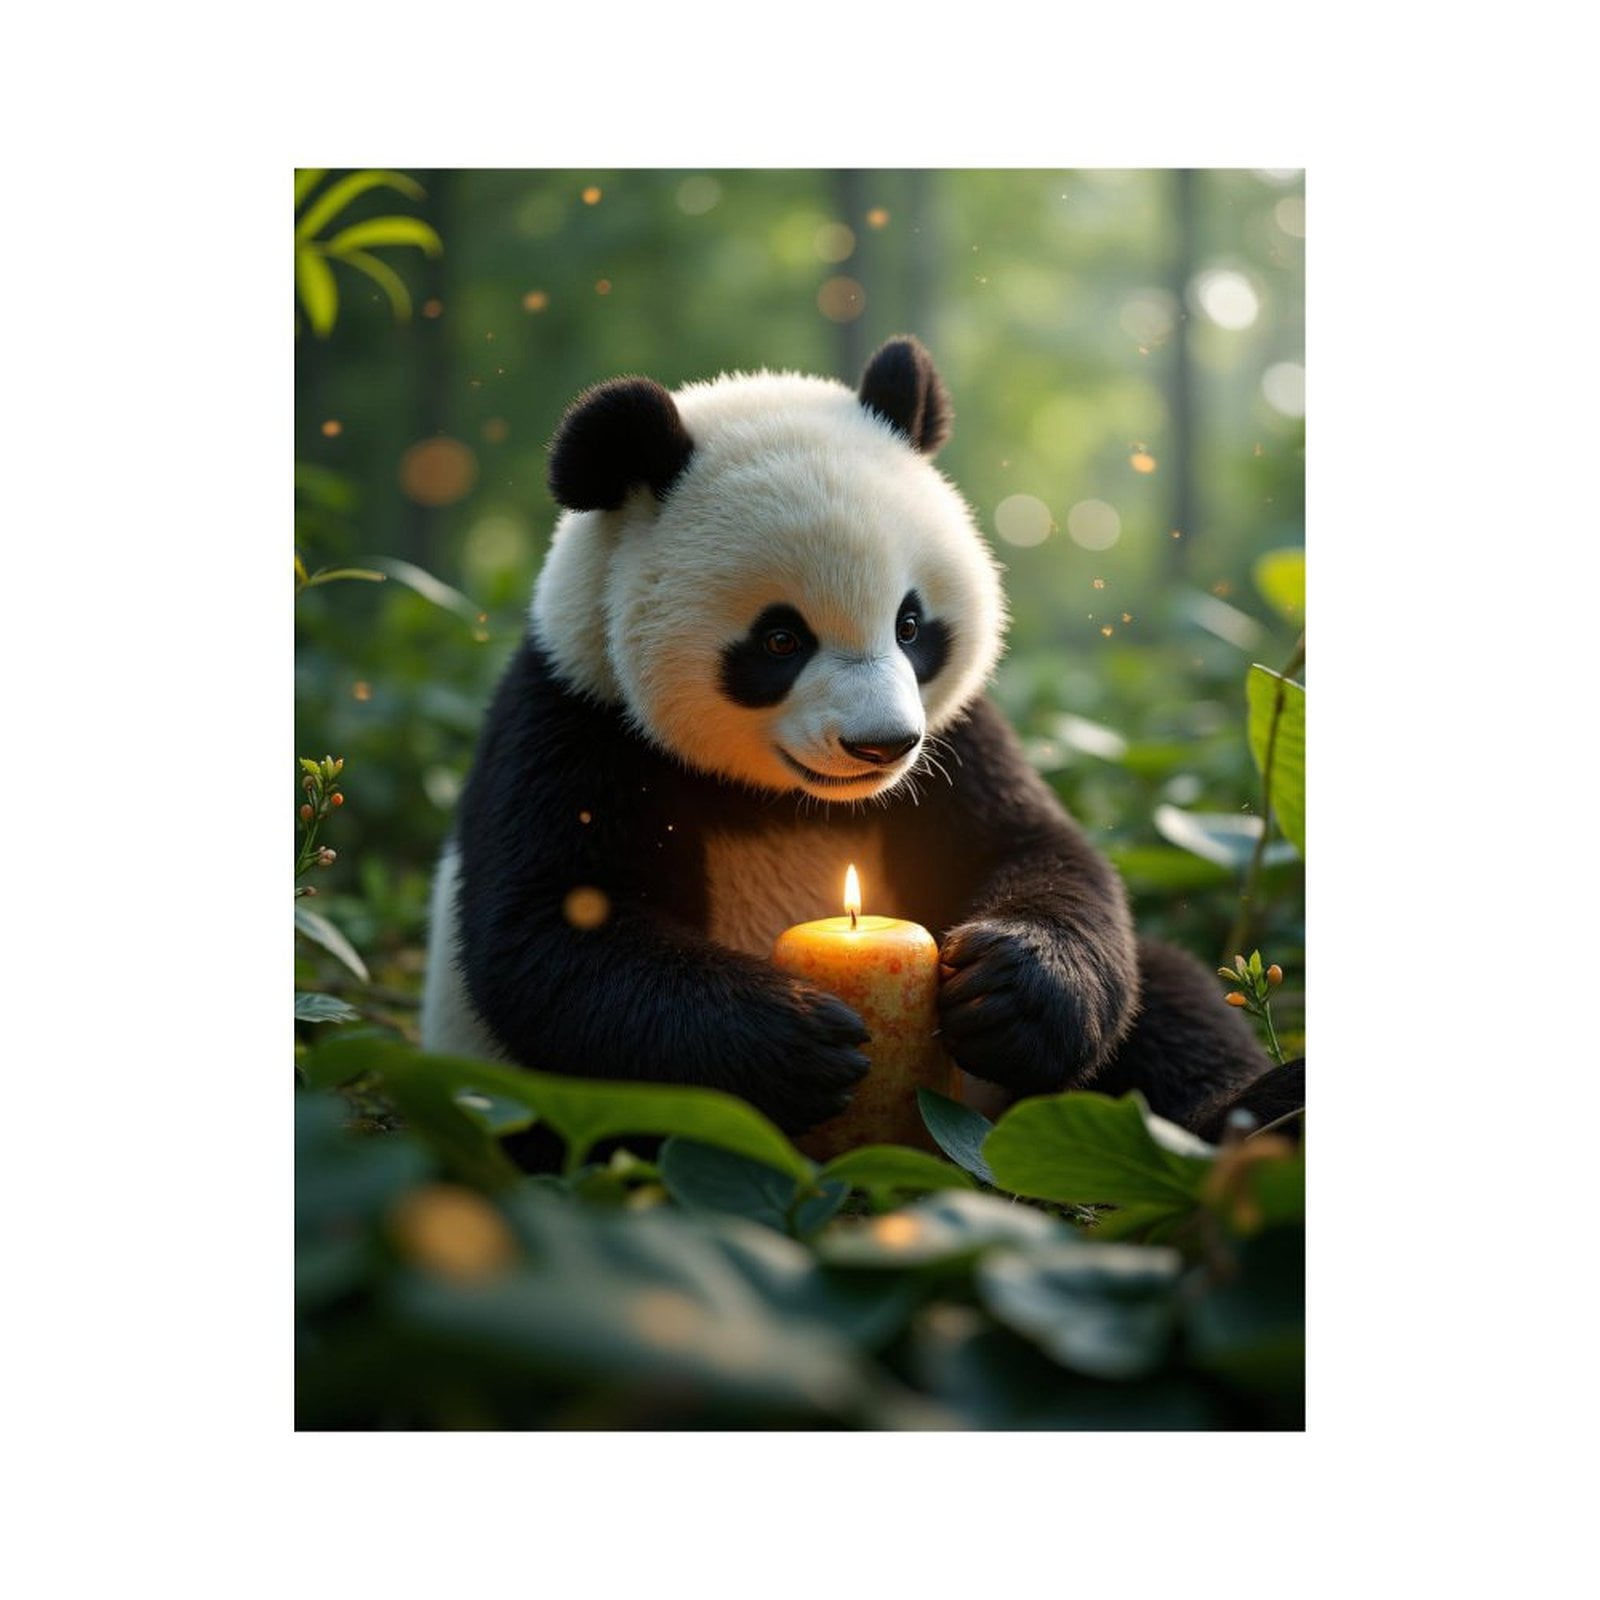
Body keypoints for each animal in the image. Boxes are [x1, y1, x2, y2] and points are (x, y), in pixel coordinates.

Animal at [421, 336, 1293, 1146]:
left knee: (1171, 994)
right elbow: (554, 937)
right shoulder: (576, 722)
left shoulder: (958, 740)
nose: (882, 746)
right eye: (780, 640)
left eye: (910, 625)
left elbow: (1034, 849)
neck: (787, 802)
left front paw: (1011, 991)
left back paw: (1263, 1116)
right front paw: (793, 1044)